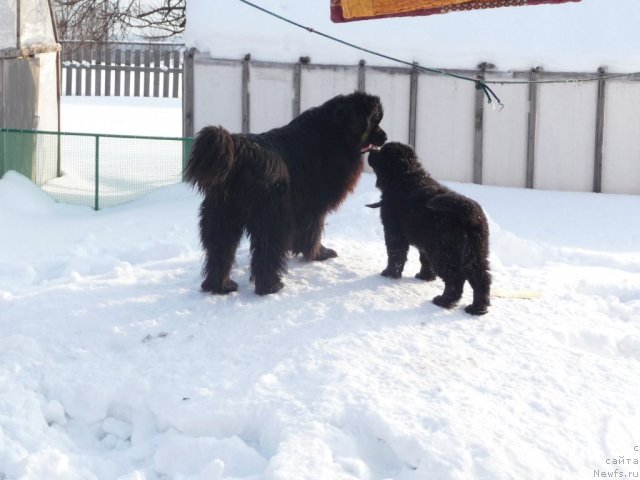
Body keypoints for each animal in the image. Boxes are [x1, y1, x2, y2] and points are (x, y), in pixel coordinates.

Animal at [182, 89, 388, 292]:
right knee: (265, 251)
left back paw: (220, 285)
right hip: (272, 216)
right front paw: (318, 254)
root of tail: (239, 149)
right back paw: (270, 286)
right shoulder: (314, 205)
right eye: (374, 121)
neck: (336, 132)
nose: (385, 137)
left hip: (222, 217)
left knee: (219, 251)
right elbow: (314, 231)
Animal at [368, 142, 492, 316]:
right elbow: (423, 259)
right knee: (481, 278)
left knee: (455, 279)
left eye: (383, 153)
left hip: (444, 253)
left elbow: (395, 255)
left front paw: (390, 273)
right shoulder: (425, 242)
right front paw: (425, 276)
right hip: (475, 253)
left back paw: (444, 301)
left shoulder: (394, 232)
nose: (371, 150)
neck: (406, 177)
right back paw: (477, 308)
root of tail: (469, 212)